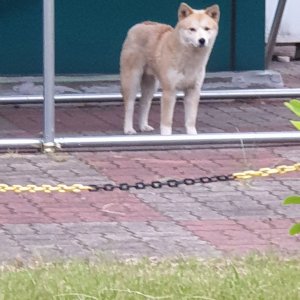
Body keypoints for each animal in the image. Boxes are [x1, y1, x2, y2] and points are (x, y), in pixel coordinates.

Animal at [120, 2, 220, 136]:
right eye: (192, 29)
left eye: (206, 29)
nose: (202, 40)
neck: (189, 61)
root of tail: (140, 24)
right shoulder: (170, 90)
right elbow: (167, 121)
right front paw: (166, 135)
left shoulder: (193, 91)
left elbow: (190, 120)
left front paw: (192, 135)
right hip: (132, 81)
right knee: (129, 106)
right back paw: (129, 129)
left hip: (151, 85)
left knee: (144, 104)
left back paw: (143, 126)